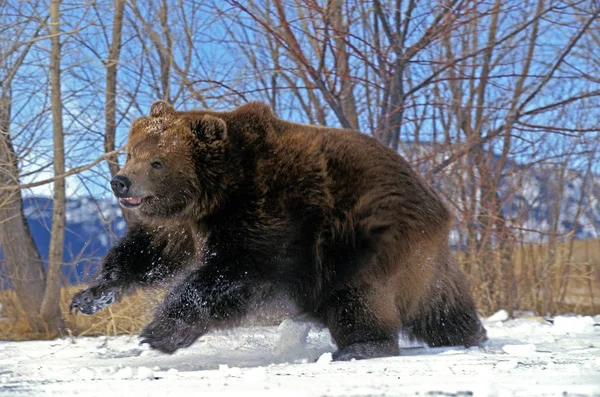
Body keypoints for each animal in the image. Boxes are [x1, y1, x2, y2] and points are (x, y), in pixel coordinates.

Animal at [70, 100, 488, 358]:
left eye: (157, 161)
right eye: (131, 151)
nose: (121, 181)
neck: (216, 194)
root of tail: (438, 205)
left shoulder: (268, 213)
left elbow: (233, 274)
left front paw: (161, 330)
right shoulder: (182, 224)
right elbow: (148, 253)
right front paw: (91, 295)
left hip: (365, 235)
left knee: (358, 295)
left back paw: (360, 347)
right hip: (421, 260)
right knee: (442, 302)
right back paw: (469, 333)